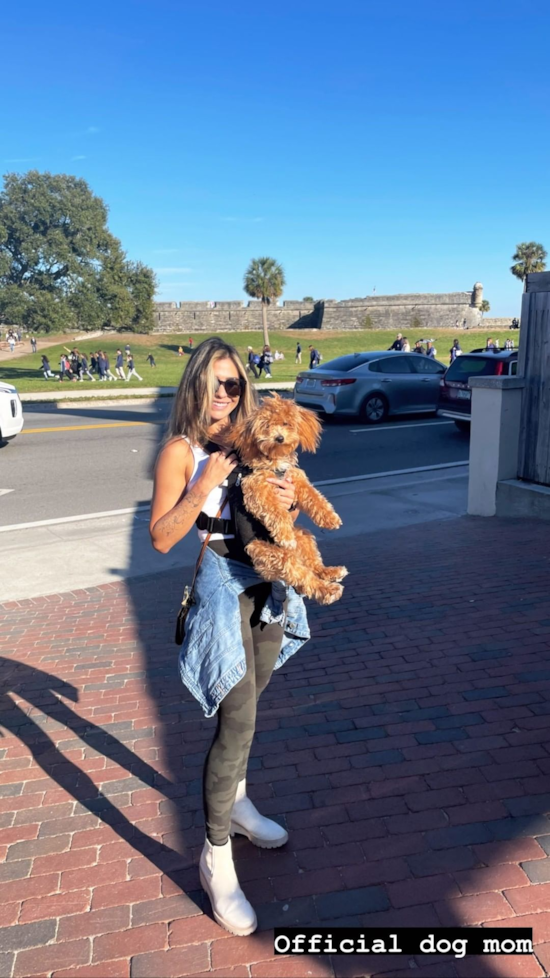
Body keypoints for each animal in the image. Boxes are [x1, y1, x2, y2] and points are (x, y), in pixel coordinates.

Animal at [233, 392, 350, 600]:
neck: (276, 462)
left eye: (286, 423)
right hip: (276, 556)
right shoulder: (257, 490)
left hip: (304, 537)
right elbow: (277, 512)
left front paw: (330, 518)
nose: (279, 437)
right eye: (266, 425)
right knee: (305, 578)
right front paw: (285, 535)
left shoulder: (296, 479)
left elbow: (314, 497)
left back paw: (331, 572)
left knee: (313, 565)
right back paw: (328, 590)